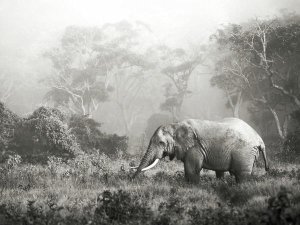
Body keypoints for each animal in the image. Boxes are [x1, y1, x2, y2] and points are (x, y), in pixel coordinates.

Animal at [131, 118, 270, 183]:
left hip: (244, 152)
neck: (175, 125)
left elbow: (192, 169)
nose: (131, 179)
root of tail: (260, 140)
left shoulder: (195, 147)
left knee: (242, 176)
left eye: (161, 143)